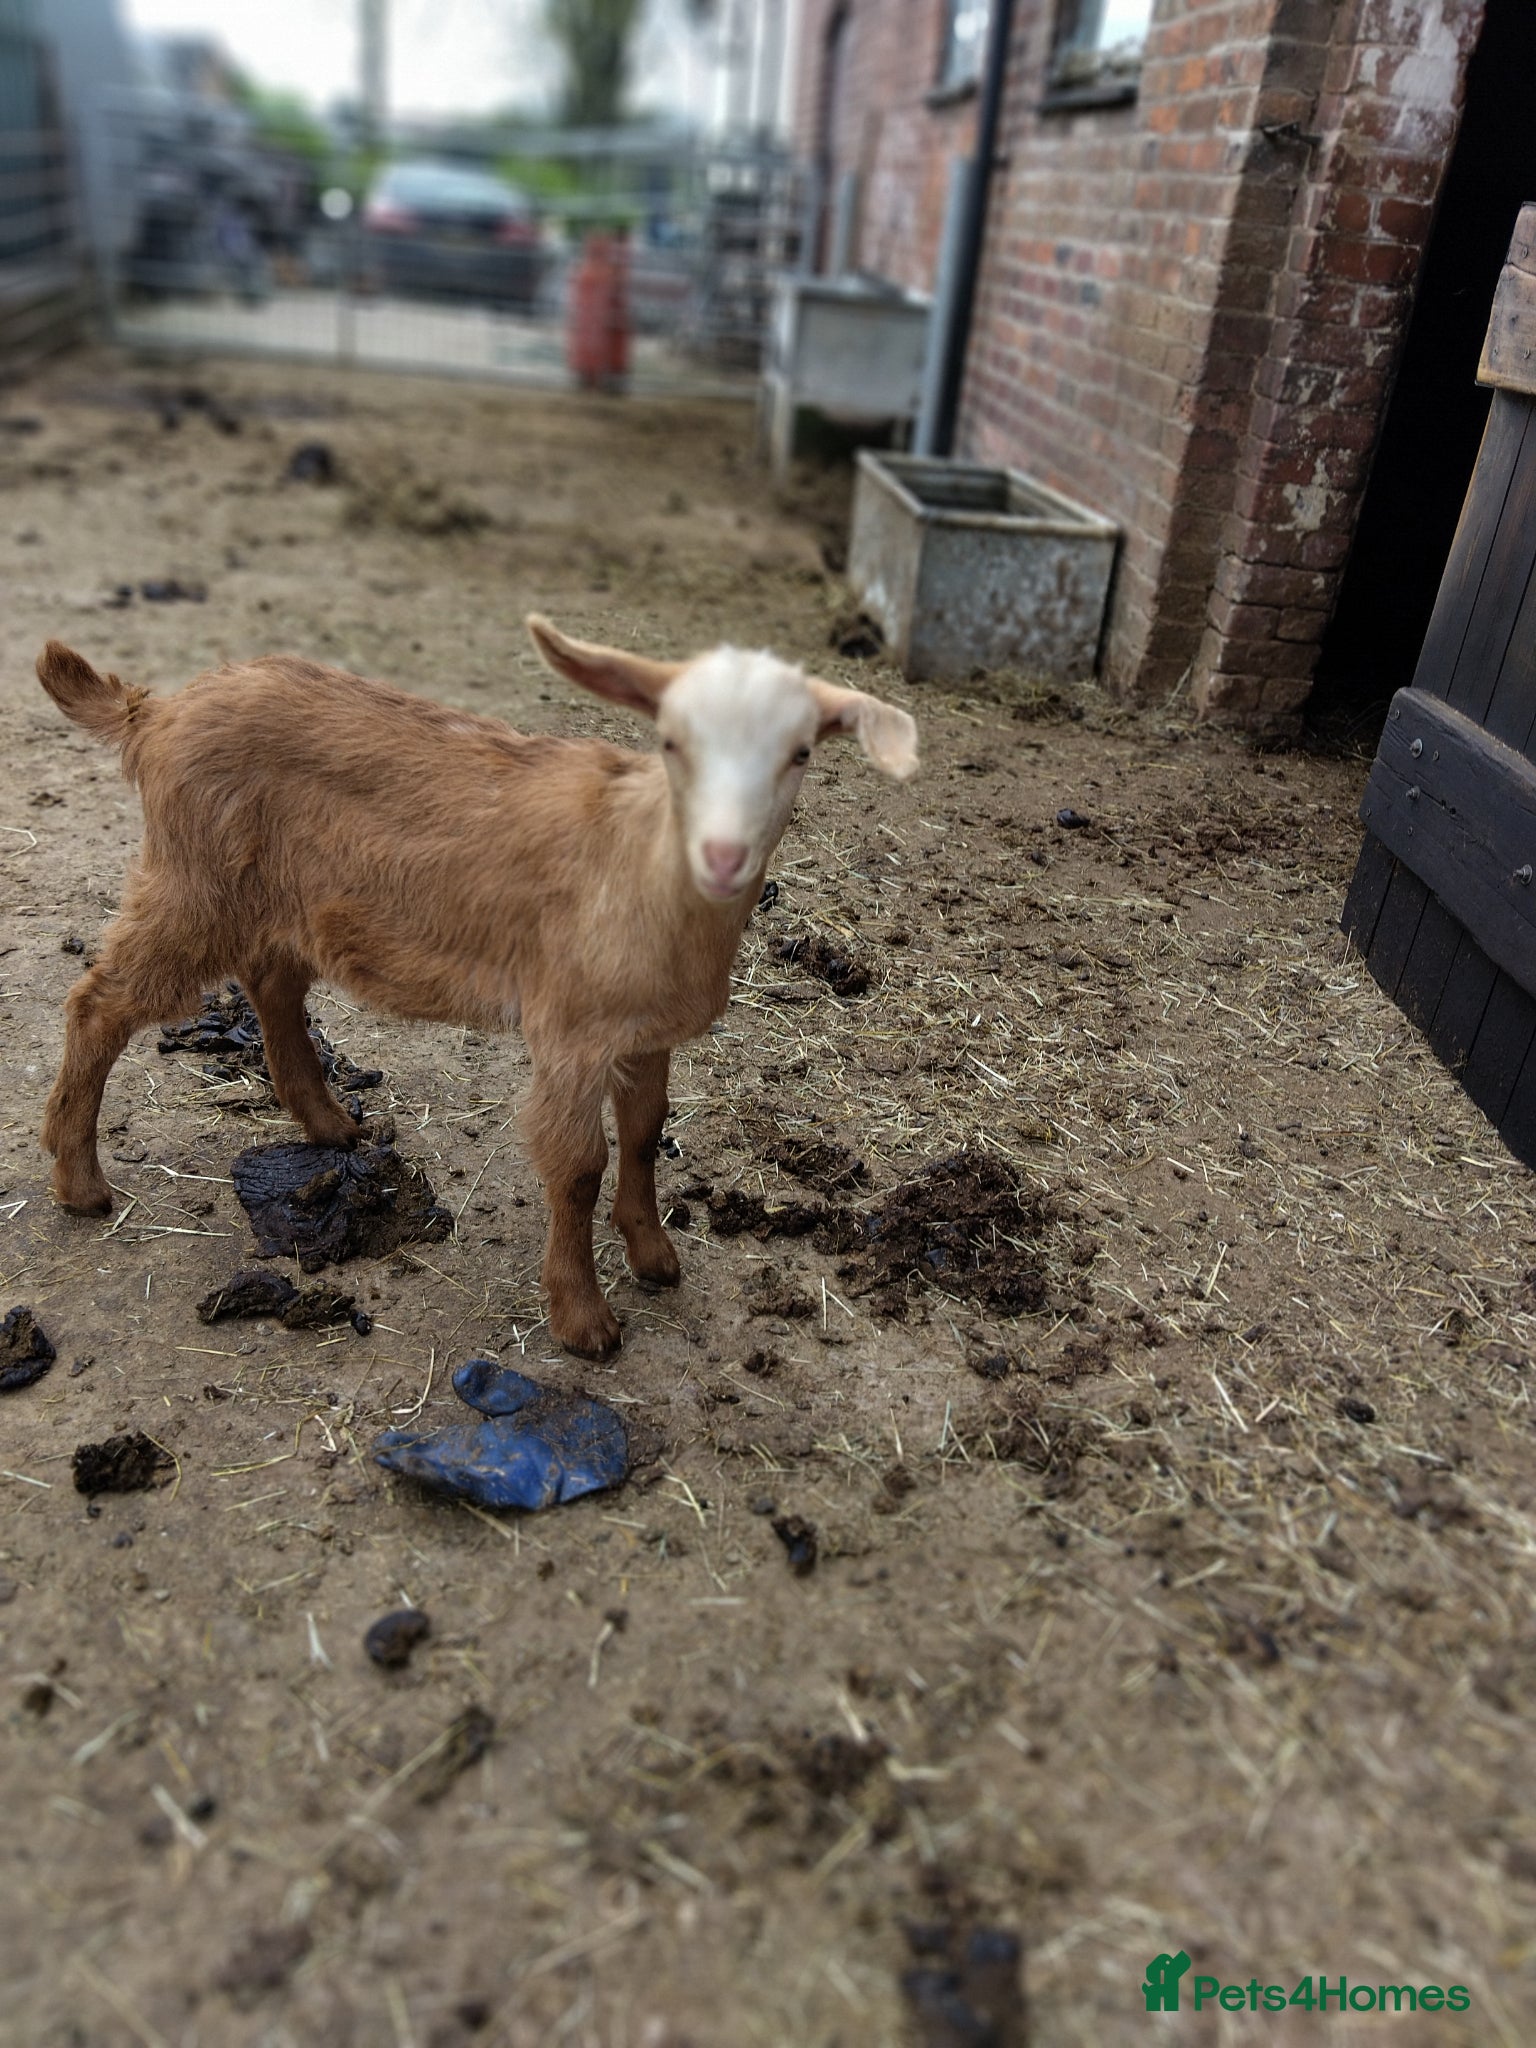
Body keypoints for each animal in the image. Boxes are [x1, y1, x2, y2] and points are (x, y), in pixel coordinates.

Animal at [36, 620, 918, 1358]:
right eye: (671, 743)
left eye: (801, 753)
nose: (725, 856)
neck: (640, 864)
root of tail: (157, 712)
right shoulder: (571, 1029)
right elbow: (578, 1167)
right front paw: (584, 1321)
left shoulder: (642, 1031)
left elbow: (643, 1133)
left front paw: (655, 1256)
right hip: (193, 881)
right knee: (98, 1003)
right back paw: (80, 1183)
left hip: (275, 896)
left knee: (272, 982)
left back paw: (330, 1126)